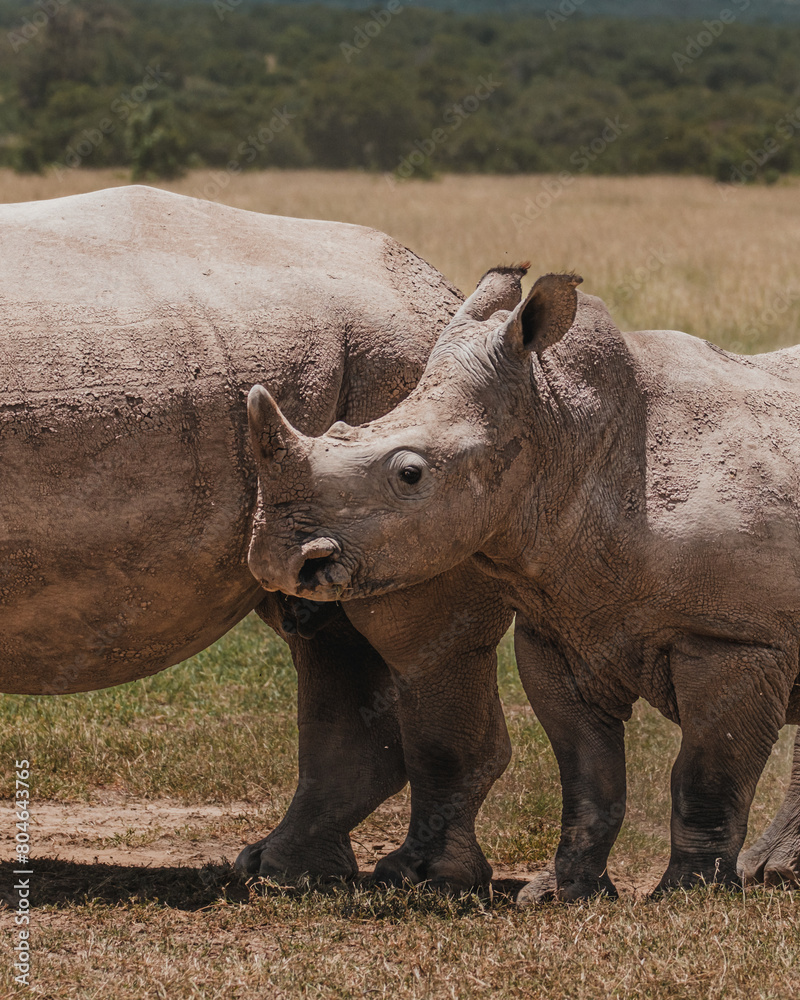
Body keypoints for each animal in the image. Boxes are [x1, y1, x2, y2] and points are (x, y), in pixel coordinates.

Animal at [0, 185, 514, 890]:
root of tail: (439, 288)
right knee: (326, 626)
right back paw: (283, 873)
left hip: (416, 388)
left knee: (418, 636)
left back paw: (422, 879)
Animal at [247, 264, 800, 900]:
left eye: (409, 474)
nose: (276, 561)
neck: (564, 434)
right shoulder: (560, 624)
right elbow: (587, 772)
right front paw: (563, 893)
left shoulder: (734, 636)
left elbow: (706, 775)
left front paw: (686, 896)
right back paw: (776, 873)